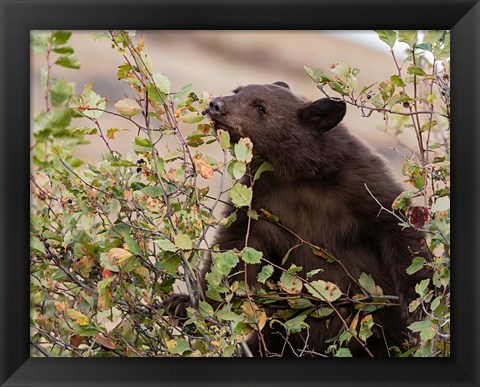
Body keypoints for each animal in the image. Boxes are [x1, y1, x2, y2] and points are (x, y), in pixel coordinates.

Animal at [166, 81, 432, 358]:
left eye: (260, 106)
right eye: (238, 90)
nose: (216, 105)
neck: (296, 174)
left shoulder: (360, 183)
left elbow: (396, 225)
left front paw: (417, 299)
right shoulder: (258, 201)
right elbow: (235, 250)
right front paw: (185, 304)